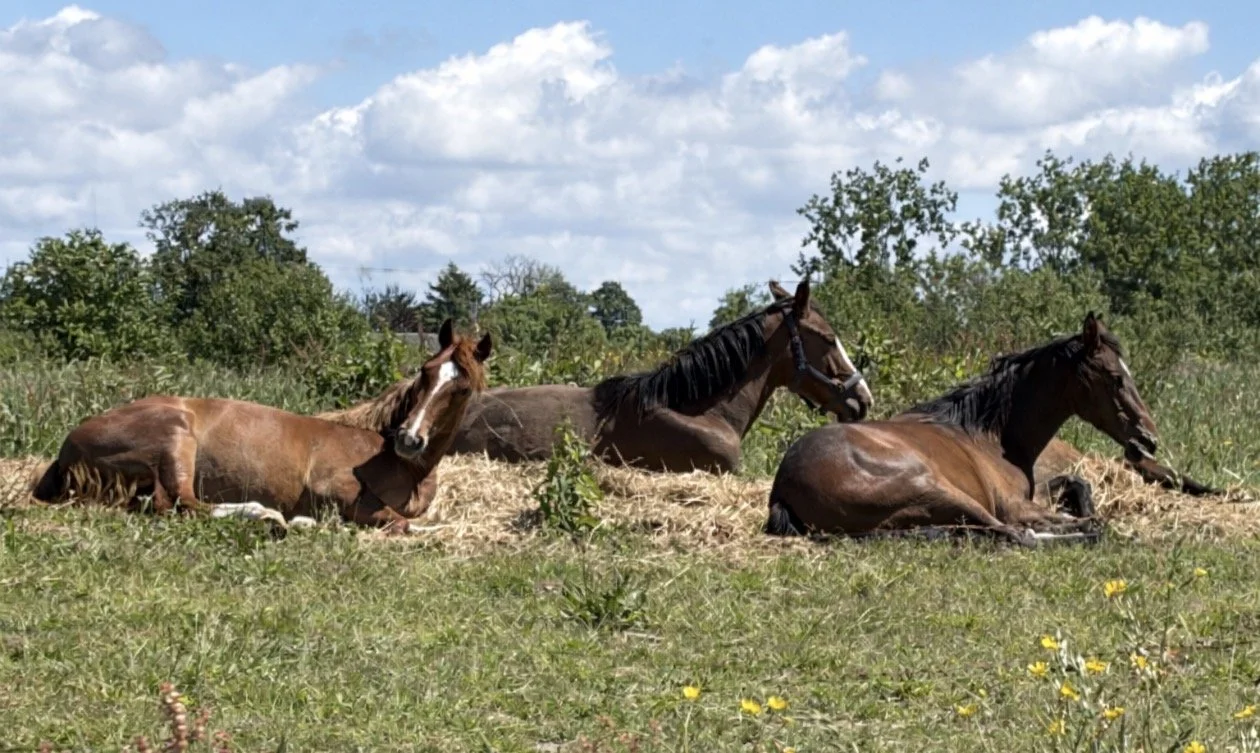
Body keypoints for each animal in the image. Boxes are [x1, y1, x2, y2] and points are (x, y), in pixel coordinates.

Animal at [30, 319, 492, 534]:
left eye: (461, 387)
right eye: (425, 371)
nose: (410, 439)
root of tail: (68, 445)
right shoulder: (337, 488)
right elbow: (402, 522)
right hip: (175, 440)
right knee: (179, 503)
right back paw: (265, 515)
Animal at [764, 313, 1158, 547]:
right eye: (1115, 377)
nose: (1148, 439)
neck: (991, 435)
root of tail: (783, 486)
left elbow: (1077, 485)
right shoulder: (1014, 505)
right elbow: (1076, 519)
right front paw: (1090, 524)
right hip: (936, 489)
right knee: (1017, 535)